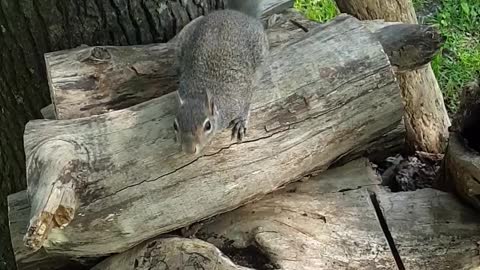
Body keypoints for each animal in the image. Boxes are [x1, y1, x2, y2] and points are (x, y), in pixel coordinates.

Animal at [173, 0, 270, 154]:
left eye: (208, 126)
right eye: (175, 125)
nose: (189, 150)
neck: (198, 92)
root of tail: (238, 13)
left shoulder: (241, 94)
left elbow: (246, 105)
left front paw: (241, 122)